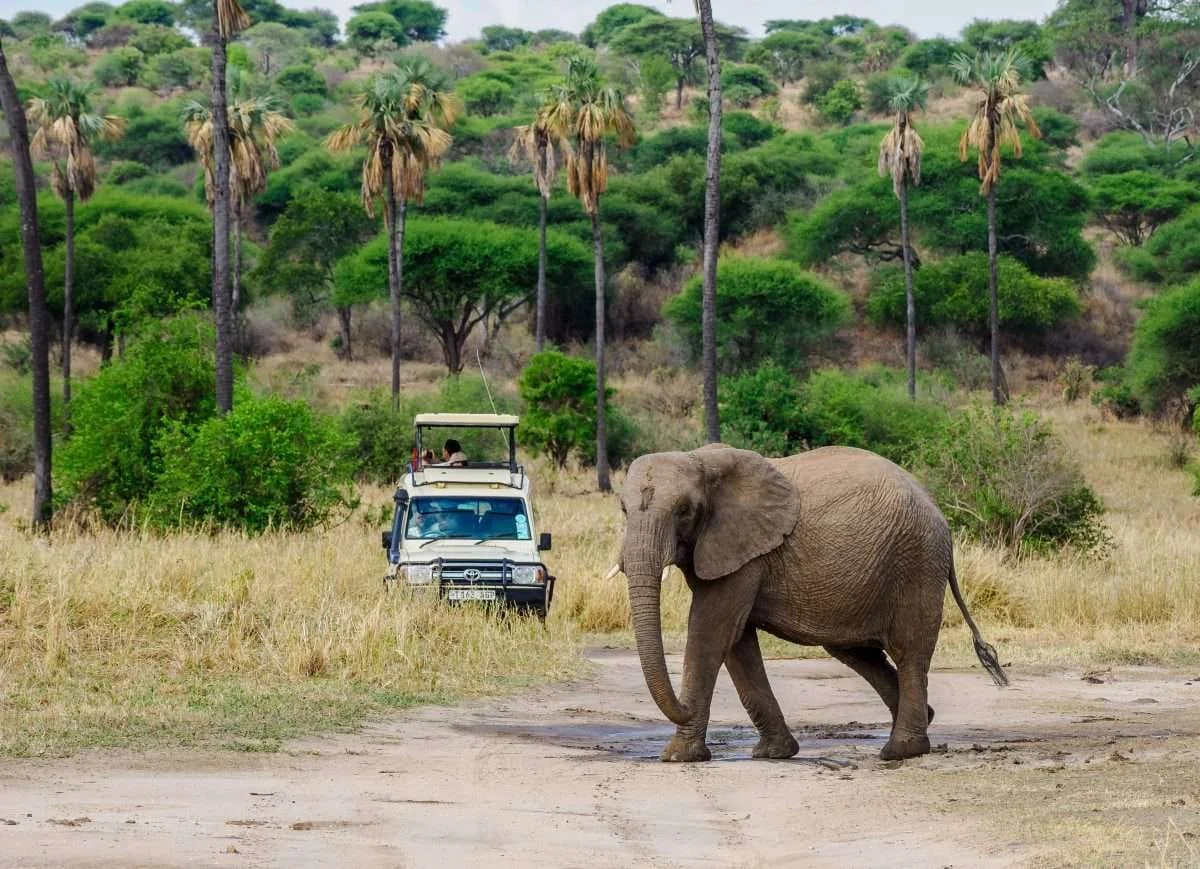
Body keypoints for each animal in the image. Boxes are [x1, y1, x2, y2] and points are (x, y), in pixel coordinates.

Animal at [614, 443, 1007, 763]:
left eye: (683, 510)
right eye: (623, 510)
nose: (682, 708)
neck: (699, 459)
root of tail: (939, 514)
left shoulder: (744, 550)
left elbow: (711, 631)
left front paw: (676, 757)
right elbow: (737, 642)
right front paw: (775, 753)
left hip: (916, 563)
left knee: (909, 651)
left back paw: (900, 751)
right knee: (857, 653)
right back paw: (926, 718)